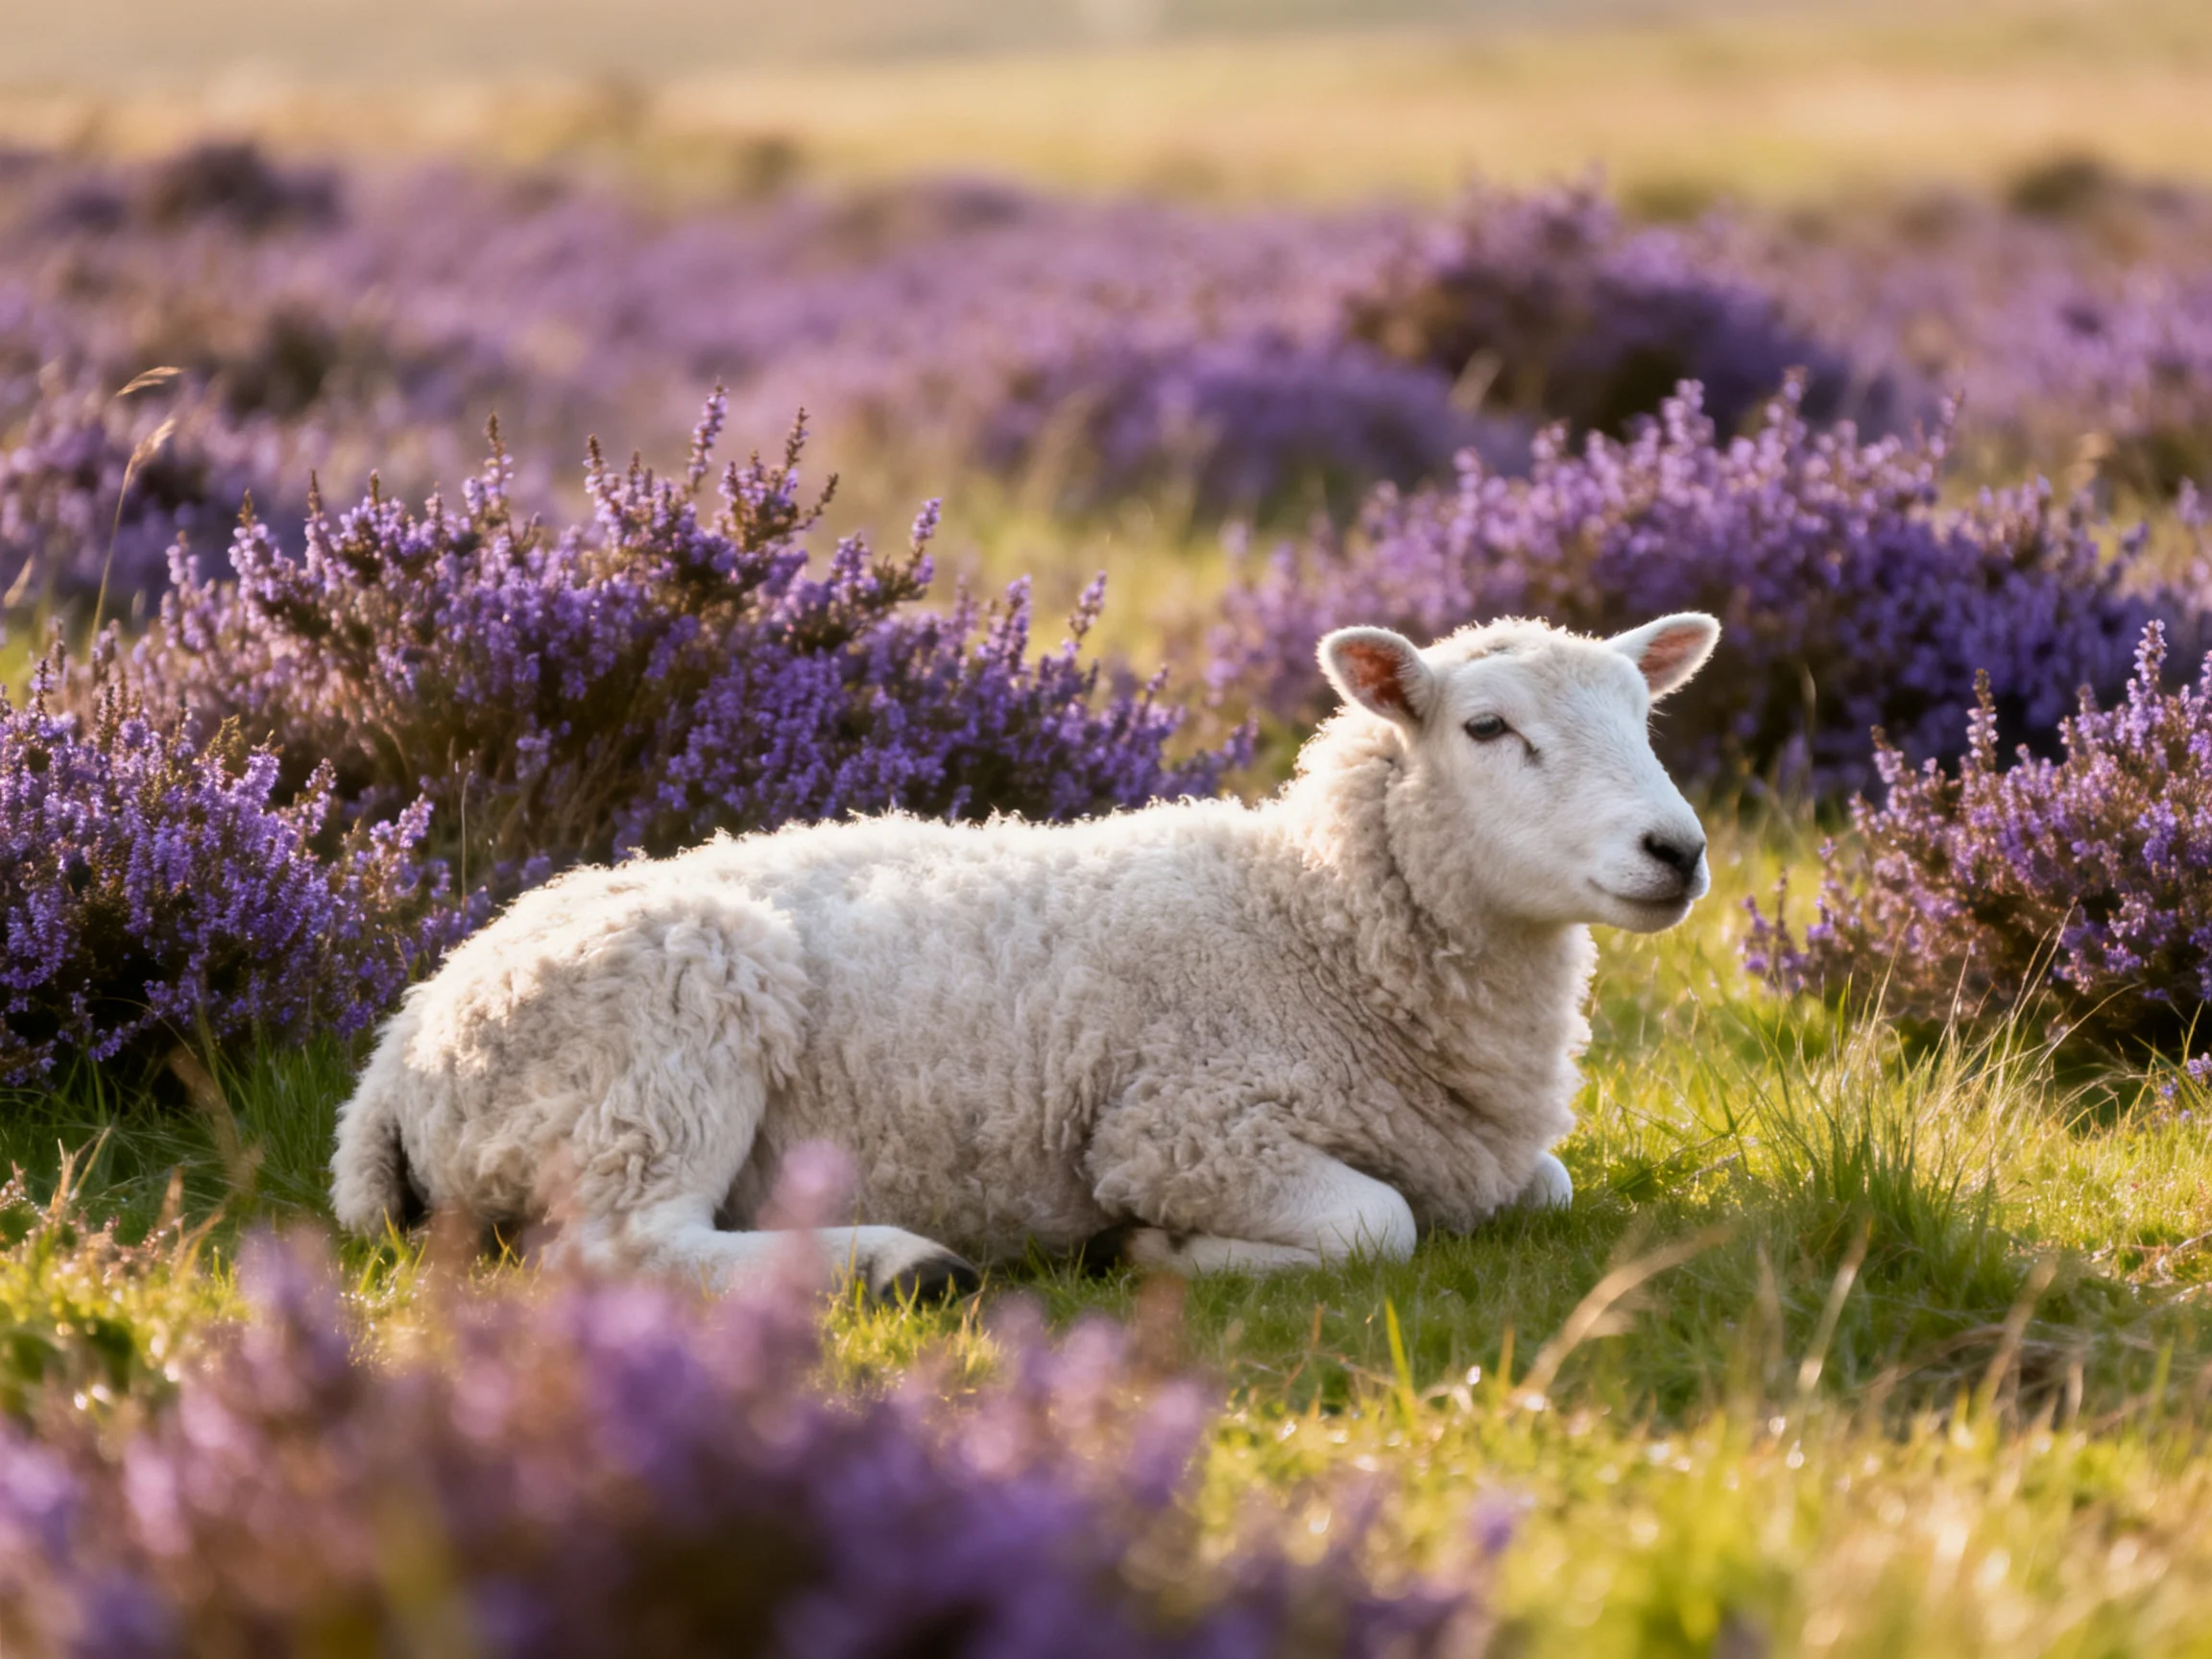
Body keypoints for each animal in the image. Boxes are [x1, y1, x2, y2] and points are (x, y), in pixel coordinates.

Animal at [331, 611, 1719, 1296]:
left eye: (1645, 715)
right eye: (1488, 728)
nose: (1679, 850)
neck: (1313, 920)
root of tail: (396, 1053)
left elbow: (1549, 1185)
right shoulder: (1189, 1128)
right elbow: (1378, 1227)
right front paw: (1152, 1254)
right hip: (664, 1036)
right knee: (622, 1249)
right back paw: (901, 1266)